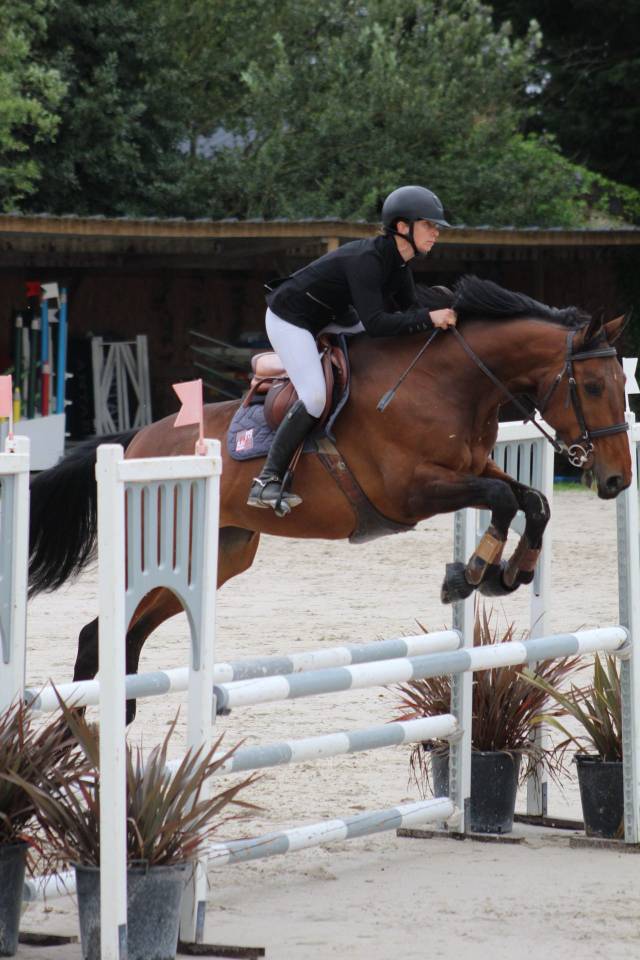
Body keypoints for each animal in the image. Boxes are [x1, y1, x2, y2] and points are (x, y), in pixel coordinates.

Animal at [28, 277, 631, 722]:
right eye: (593, 387)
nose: (617, 481)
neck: (448, 382)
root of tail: (135, 443)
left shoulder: (471, 468)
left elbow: (532, 501)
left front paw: (513, 573)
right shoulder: (411, 490)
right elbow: (502, 499)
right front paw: (469, 575)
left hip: (215, 558)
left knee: (124, 634)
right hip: (156, 547)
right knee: (98, 635)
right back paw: (83, 733)